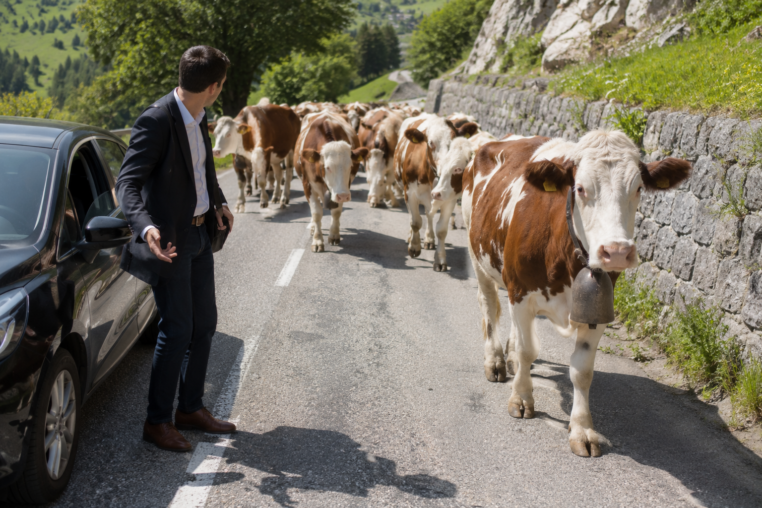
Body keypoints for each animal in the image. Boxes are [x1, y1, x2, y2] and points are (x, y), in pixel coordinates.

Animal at [295, 111, 368, 252]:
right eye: (327, 167)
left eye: (350, 166)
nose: (344, 196)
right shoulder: (308, 185)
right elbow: (316, 213)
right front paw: (317, 240)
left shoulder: (344, 187)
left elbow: (337, 211)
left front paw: (334, 234)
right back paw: (313, 227)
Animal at [393, 113, 478, 259]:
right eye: (431, 143)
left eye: (453, 142)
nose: (446, 166)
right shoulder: (409, 193)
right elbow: (415, 222)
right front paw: (414, 246)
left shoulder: (449, 198)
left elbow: (439, 226)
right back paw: (410, 237)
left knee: (429, 214)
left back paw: (429, 239)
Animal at [461, 130, 691, 457]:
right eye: (580, 188)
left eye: (638, 188)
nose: (616, 251)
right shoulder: (521, 290)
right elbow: (528, 350)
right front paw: (521, 398)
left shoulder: (597, 307)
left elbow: (581, 370)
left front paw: (582, 428)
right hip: (478, 254)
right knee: (489, 305)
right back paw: (494, 360)